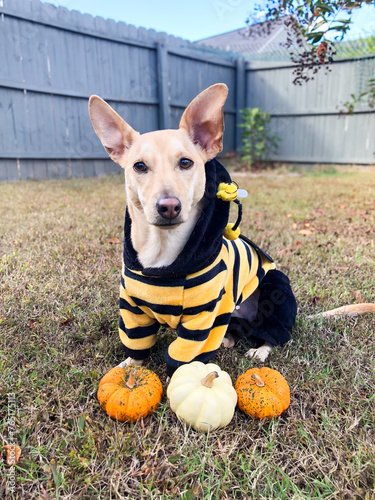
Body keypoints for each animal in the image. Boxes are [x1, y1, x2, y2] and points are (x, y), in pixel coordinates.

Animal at [89, 85, 298, 376]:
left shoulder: (202, 319)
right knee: (235, 331)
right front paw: (130, 367)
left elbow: (185, 356)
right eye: (139, 166)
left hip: (275, 288)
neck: (162, 253)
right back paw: (228, 340)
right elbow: (137, 343)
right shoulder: (132, 310)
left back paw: (260, 349)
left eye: (186, 163)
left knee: (272, 332)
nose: (168, 206)